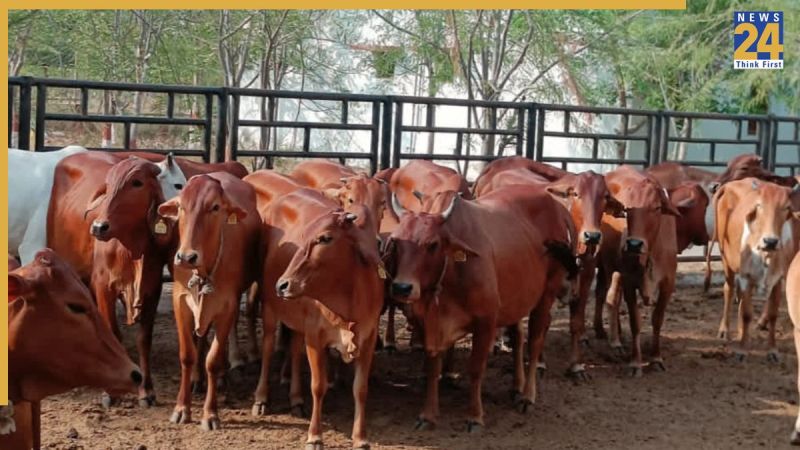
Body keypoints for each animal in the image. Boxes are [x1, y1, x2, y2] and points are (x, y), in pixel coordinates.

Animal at [157, 173, 260, 430]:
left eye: (215, 207)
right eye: (181, 207)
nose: (186, 257)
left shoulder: (227, 306)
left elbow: (212, 360)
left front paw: (210, 413)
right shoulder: (180, 302)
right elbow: (187, 355)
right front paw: (181, 409)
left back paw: (222, 376)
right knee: (201, 339)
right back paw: (196, 379)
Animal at [252, 188, 383, 449]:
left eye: (325, 238)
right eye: (303, 238)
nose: (282, 285)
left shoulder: (368, 338)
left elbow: (360, 389)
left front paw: (361, 437)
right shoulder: (315, 337)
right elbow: (318, 386)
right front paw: (314, 436)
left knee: (294, 349)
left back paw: (296, 399)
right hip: (269, 309)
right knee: (269, 348)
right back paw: (261, 399)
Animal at [384, 187, 577, 431]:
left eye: (432, 244)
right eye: (395, 242)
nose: (402, 287)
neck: (451, 271)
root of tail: (559, 208)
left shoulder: (486, 321)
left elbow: (475, 369)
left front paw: (475, 416)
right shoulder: (428, 324)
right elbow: (433, 367)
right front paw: (428, 415)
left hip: (546, 296)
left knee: (534, 343)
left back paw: (527, 396)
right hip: (516, 300)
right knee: (518, 336)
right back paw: (516, 386)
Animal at [594, 166, 681, 377]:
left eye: (656, 208)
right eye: (627, 209)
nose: (634, 244)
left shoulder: (668, 284)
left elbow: (657, 319)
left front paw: (656, 358)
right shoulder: (629, 281)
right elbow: (635, 322)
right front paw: (635, 362)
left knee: (611, 297)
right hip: (610, 268)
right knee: (610, 298)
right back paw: (614, 341)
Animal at [712, 178, 799, 361]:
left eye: (786, 207)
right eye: (759, 205)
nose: (770, 241)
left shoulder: (777, 279)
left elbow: (772, 314)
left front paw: (772, 350)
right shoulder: (746, 276)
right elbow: (747, 313)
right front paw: (742, 350)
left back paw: (740, 333)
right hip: (726, 260)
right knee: (729, 290)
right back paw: (724, 330)